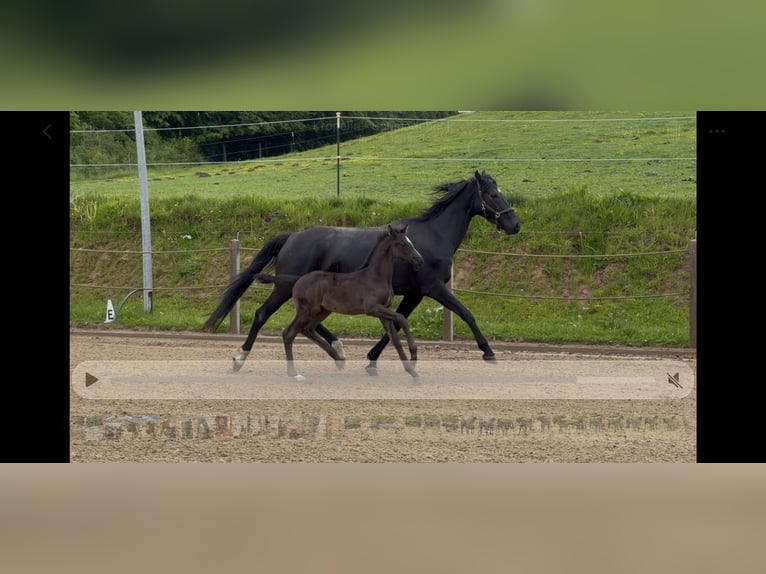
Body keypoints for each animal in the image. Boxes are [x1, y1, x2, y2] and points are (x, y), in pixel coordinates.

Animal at [252, 223, 424, 381]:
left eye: (411, 242)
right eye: (402, 244)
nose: (419, 260)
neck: (376, 276)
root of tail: (298, 279)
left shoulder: (383, 311)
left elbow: (395, 339)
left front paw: (413, 372)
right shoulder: (372, 308)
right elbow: (401, 318)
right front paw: (414, 355)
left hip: (323, 311)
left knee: (308, 329)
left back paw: (337, 357)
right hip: (307, 310)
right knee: (289, 333)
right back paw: (294, 373)